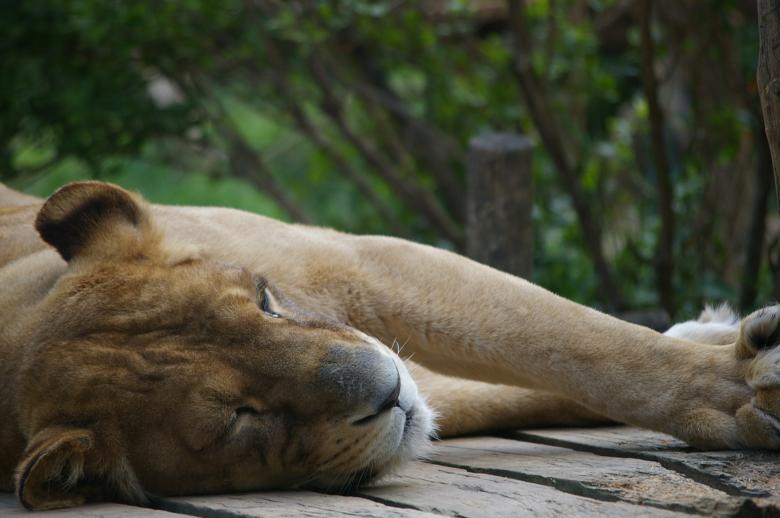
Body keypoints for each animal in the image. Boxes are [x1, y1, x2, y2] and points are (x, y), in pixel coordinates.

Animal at [1, 181, 779, 511]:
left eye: (264, 299)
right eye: (241, 421)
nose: (385, 386)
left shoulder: (358, 260)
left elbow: (576, 342)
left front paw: (738, 391)